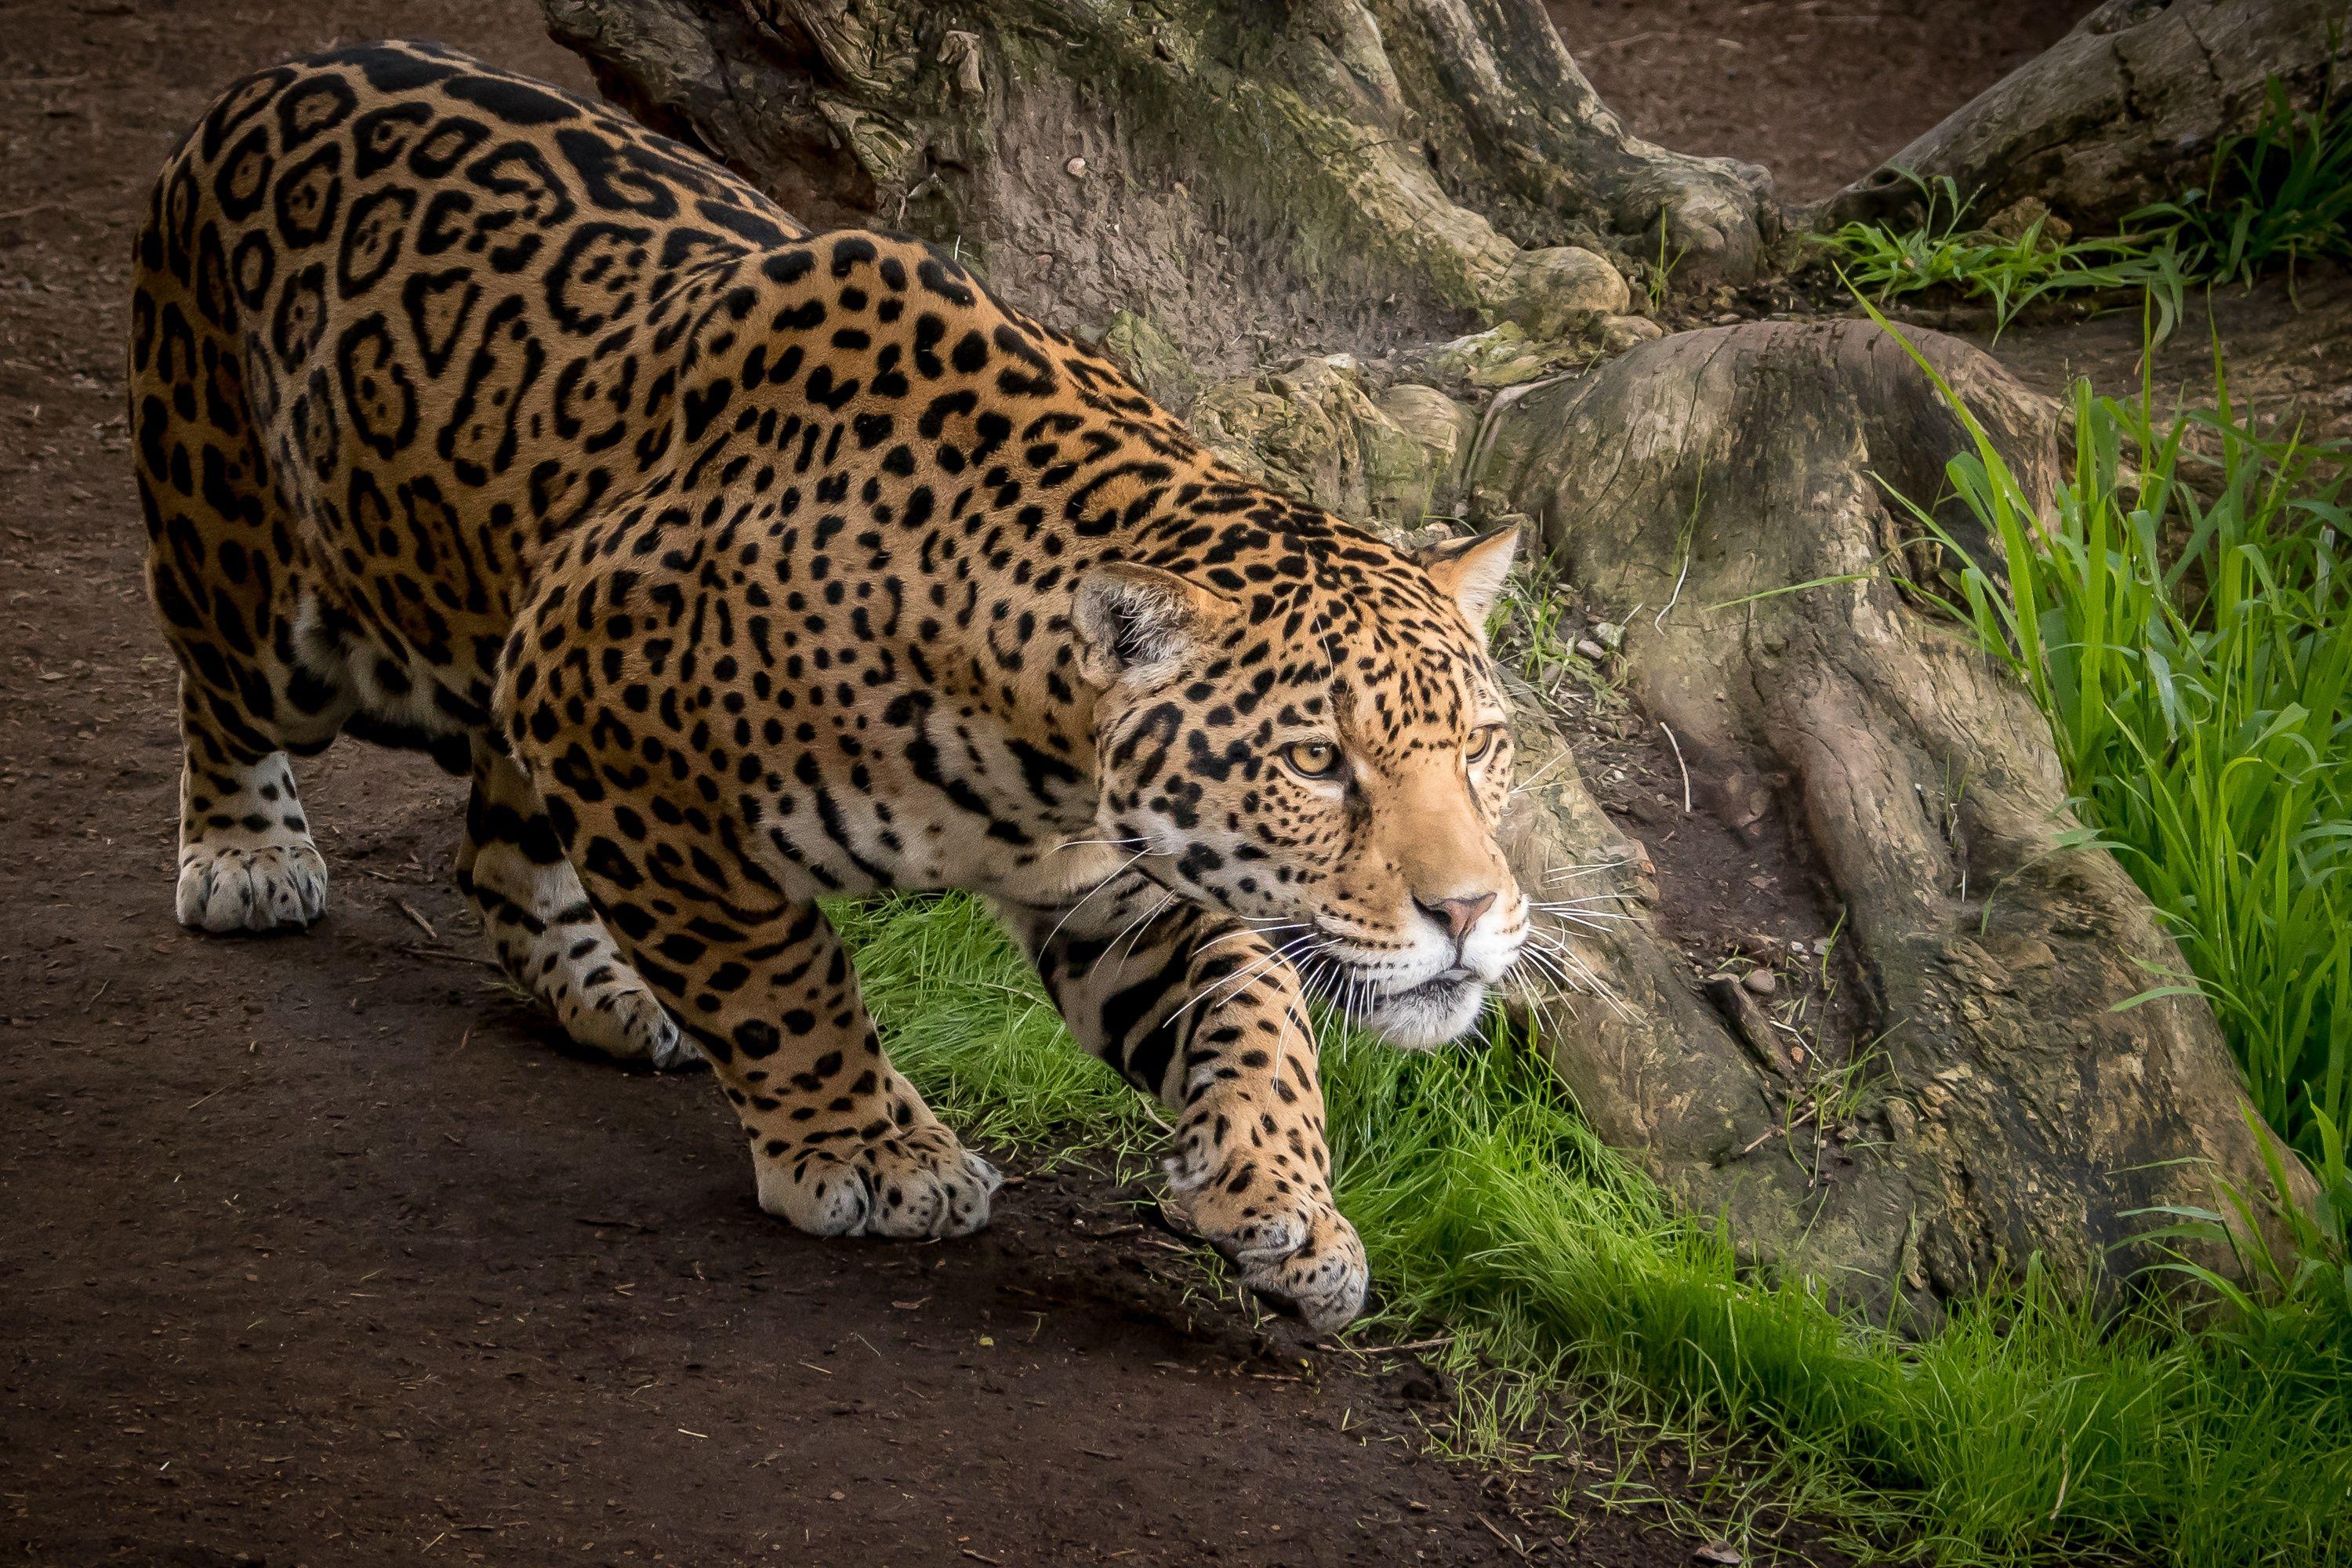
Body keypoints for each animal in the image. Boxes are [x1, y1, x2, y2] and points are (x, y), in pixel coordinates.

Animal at [129, 39, 1532, 1332]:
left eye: (1481, 746)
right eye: (1315, 762)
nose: (1470, 912)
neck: (1041, 756)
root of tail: (274, 75)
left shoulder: (1116, 885)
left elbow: (1256, 1005)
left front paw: (1285, 1200)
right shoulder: (615, 727)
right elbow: (777, 969)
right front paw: (874, 1150)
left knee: (496, 850)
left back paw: (606, 991)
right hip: (267, 580)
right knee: (222, 684)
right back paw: (249, 857)